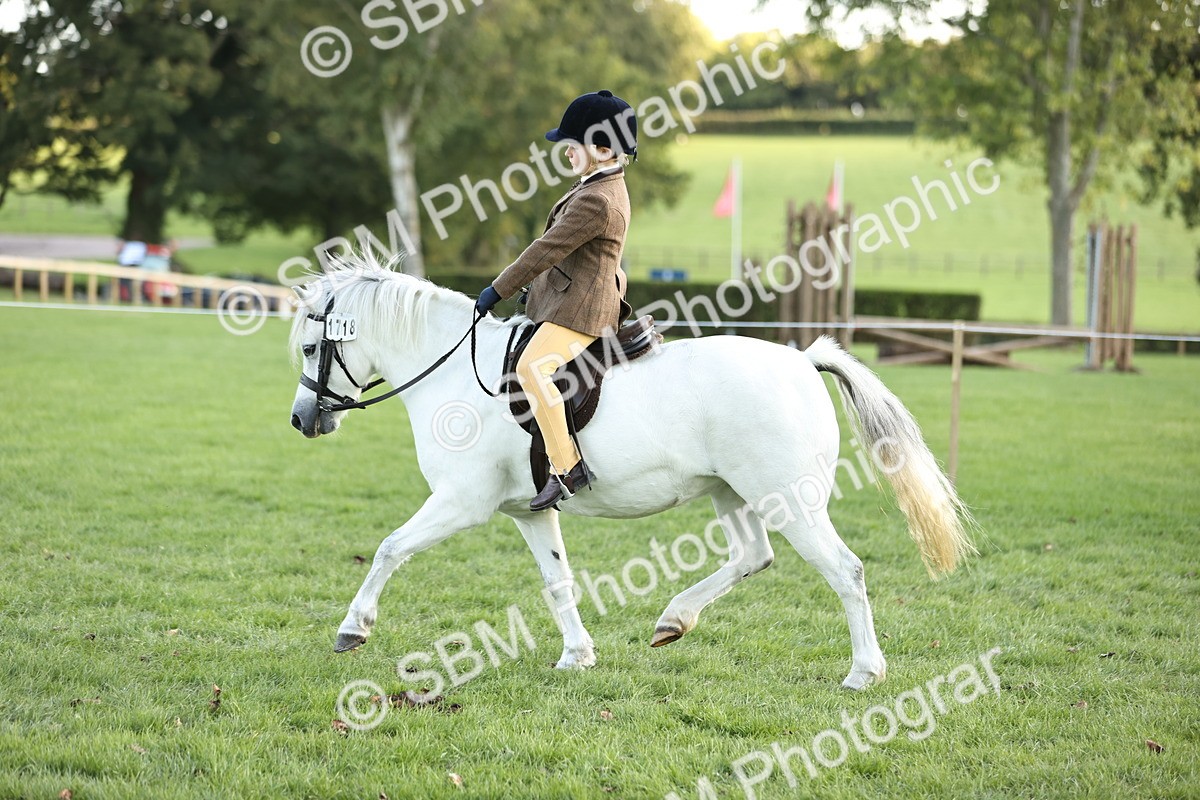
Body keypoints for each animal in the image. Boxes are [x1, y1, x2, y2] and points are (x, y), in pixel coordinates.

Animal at [288, 257, 975, 690]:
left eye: (310, 347)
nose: (301, 419)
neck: (455, 371)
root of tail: (803, 362)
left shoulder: (461, 502)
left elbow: (389, 548)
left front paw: (352, 629)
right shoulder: (528, 512)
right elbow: (558, 583)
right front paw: (577, 655)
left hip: (790, 501)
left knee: (845, 571)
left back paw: (863, 673)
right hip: (733, 494)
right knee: (753, 556)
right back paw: (674, 619)